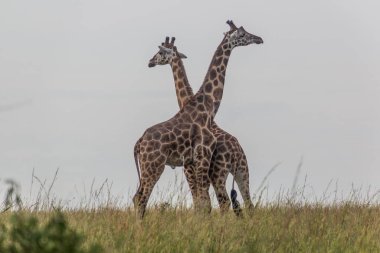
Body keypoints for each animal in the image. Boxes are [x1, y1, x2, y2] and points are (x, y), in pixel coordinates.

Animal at [132, 20, 262, 217]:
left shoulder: (195, 162)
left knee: (242, 202)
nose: (259, 39)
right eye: (242, 34)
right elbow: (203, 203)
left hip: (238, 169)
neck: (207, 108)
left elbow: (203, 203)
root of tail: (139, 143)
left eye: (160, 52)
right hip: (156, 165)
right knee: (140, 198)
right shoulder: (198, 160)